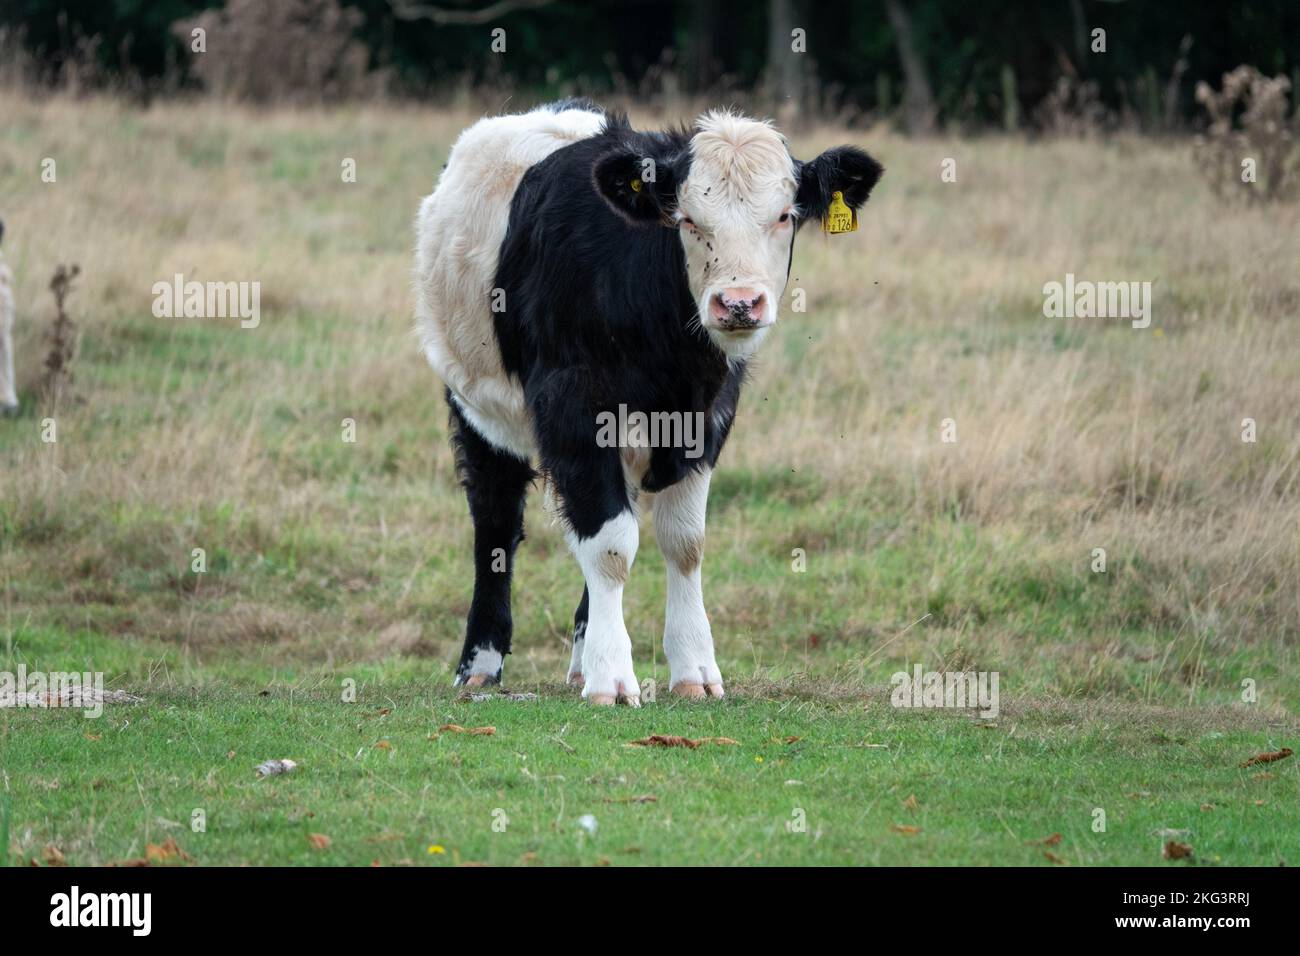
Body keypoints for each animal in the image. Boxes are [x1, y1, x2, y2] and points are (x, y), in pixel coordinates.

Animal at [414, 100, 881, 705]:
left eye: (784, 215)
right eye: (687, 220)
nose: (738, 303)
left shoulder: (706, 420)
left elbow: (683, 543)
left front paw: (693, 669)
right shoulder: (573, 408)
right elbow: (610, 546)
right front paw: (613, 677)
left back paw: (580, 660)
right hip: (478, 408)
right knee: (496, 524)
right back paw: (481, 665)